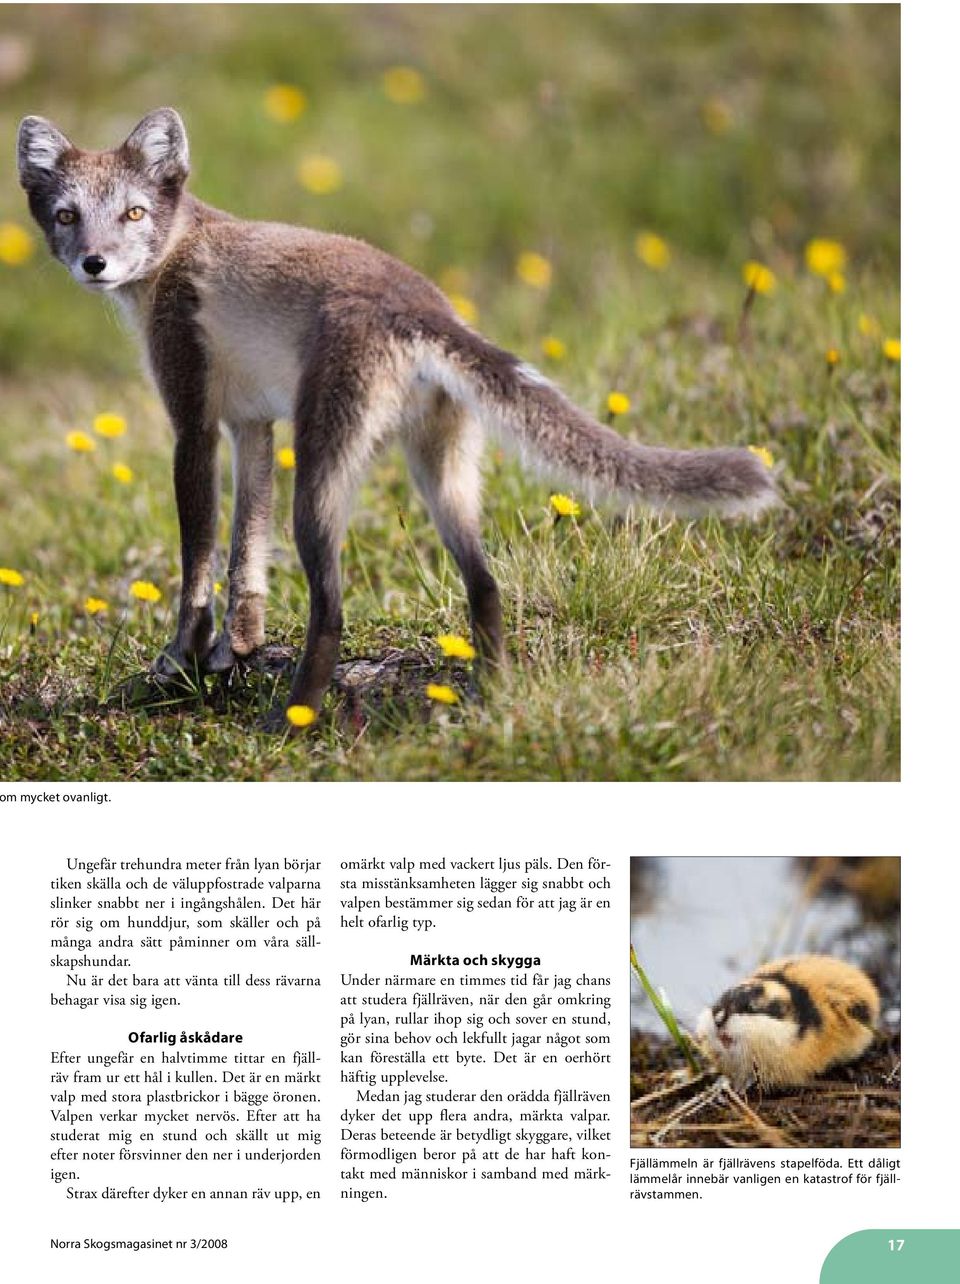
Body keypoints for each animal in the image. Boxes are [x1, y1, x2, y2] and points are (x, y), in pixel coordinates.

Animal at [16, 106, 780, 719]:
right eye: (67, 215)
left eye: (134, 214)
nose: (93, 263)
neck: (177, 251)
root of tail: (424, 304)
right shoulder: (252, 426)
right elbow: (246, 557)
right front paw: (239, 648)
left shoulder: (194, 426)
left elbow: (197, 565)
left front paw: (181, 660)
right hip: (439, 472)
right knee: (487, 585)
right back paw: (493, 699)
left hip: (321, 474)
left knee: (331, 609)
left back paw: (291, 721)